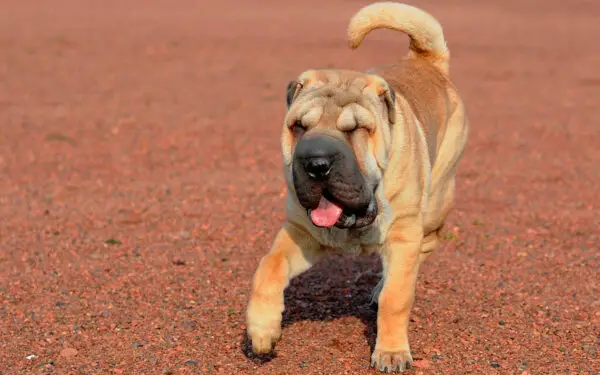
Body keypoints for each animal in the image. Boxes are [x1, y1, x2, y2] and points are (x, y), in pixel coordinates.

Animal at [244, 2, 468, 374]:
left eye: (357, 129)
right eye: (298, 126)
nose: (316, 163)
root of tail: (424, 61)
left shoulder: (403, 234)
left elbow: (397, 297)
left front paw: (391, 352)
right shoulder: (300, 233)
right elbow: (269, 266)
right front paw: (262, 329)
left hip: (434, 202)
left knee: (424, 247)